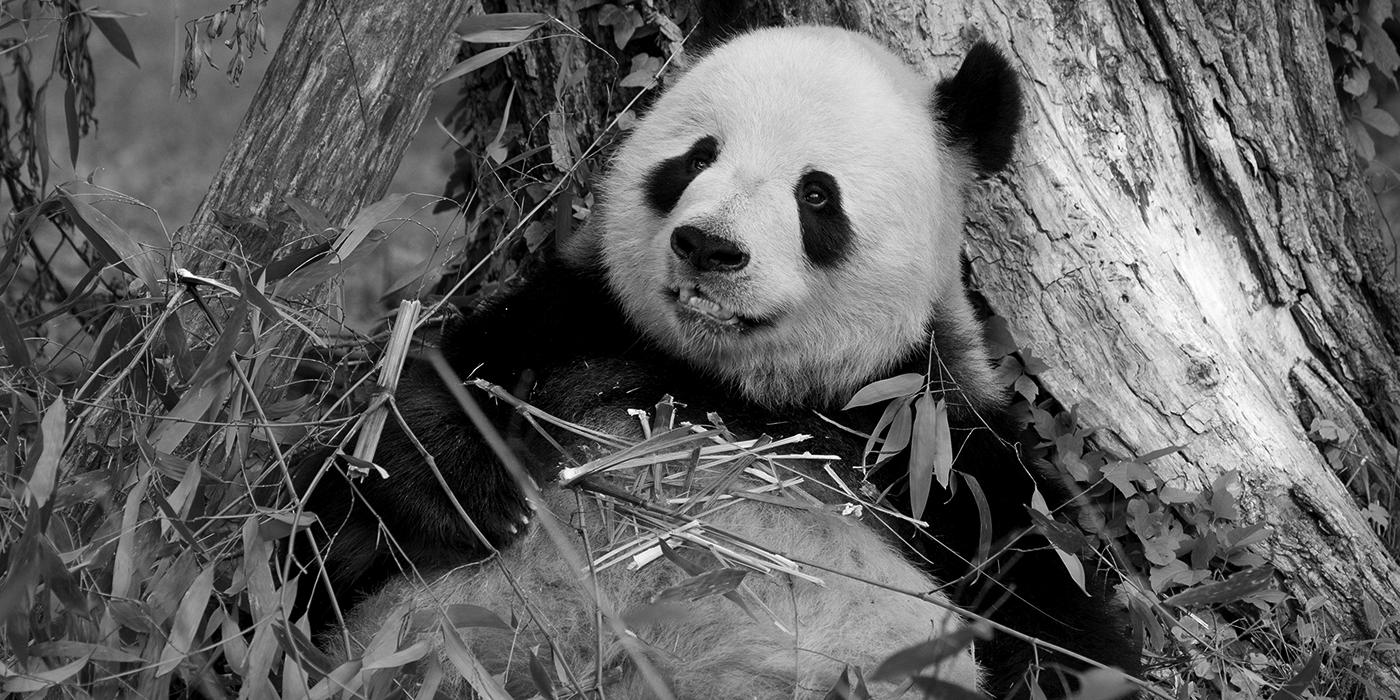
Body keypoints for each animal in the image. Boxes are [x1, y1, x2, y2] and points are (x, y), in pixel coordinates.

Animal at [292, 23, 1136, 700]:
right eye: (697, 156)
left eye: (817, 195)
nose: (709, 247)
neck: (739, 388)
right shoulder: (588, 326)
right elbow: (416, 409)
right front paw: (482, 496)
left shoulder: (926, 439)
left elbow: (1042, 595)